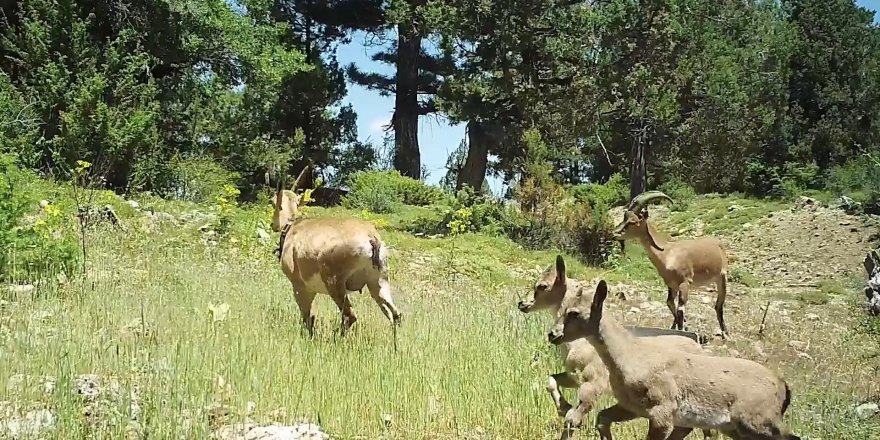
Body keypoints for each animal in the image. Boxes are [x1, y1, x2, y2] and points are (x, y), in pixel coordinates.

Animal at [548, 280, 800, 440]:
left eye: (574, 313)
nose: (552, 334)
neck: (631, 356)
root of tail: (783, 386)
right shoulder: (632, 408)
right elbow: (602, 418)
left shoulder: (662, 414)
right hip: (739, 429)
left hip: (757, 422)